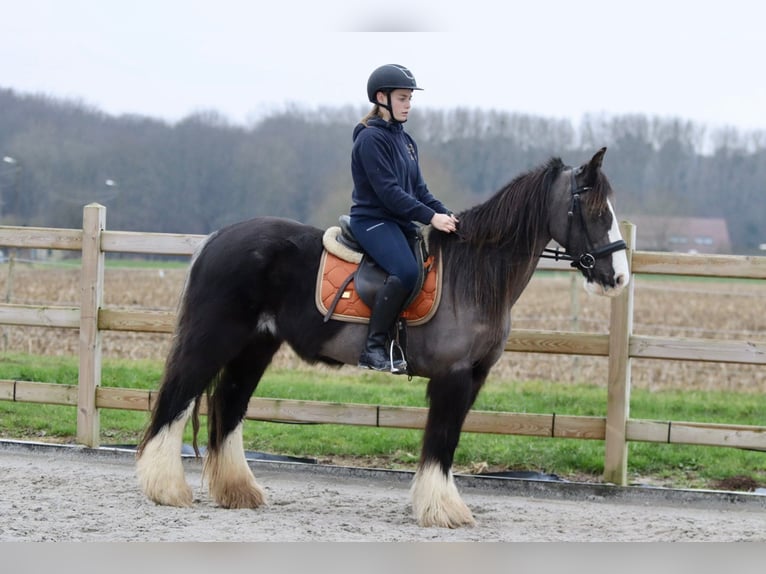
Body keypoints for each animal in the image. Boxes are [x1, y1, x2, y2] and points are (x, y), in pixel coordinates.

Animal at [136, 147, 632, 532]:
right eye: (594, 211)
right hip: (214, 338)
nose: (619, 277)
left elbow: (448, 442)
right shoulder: (453, 378)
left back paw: (238, 491)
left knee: (228, 406)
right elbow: (441, 442)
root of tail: (215, 239)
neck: (470, 276)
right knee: (177, 398)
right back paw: (165, 488)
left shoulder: (473, 379)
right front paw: (442, 510)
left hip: (254, 347)